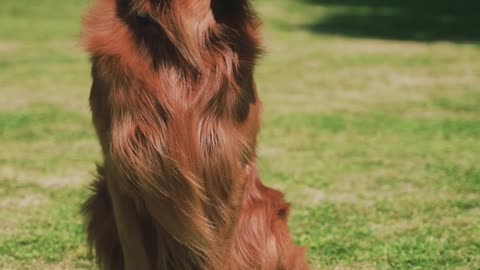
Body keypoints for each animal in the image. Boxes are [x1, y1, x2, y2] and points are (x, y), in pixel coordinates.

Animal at [81, 0, 308, 268]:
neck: (185, 45)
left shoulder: (229, 168)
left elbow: (217, 252)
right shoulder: (122, 171)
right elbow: (135, 252)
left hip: (266, 211)